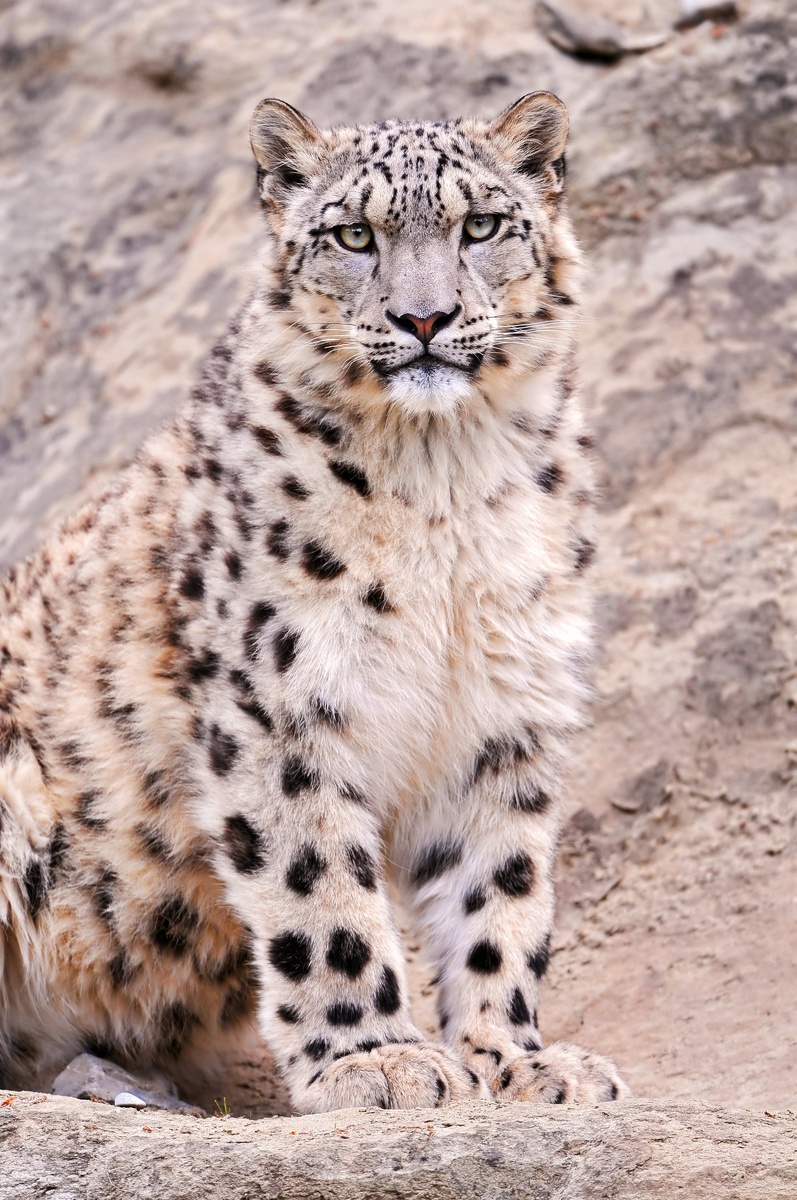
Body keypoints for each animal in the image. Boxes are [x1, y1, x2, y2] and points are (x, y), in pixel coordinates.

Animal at [0, 90, 630, 1114]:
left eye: (482, 226)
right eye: (352, 234)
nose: (424, 316)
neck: (444, 483)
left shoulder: (503, 711)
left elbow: (499, 891)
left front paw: (518, 1060)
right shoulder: (280, 702)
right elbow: (319, 886)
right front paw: (375, 1059)